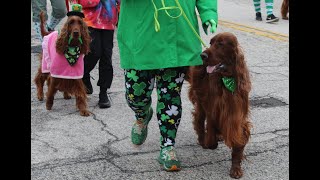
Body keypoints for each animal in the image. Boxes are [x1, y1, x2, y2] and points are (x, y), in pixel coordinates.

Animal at [188, 32, 252, 179]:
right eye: (211, 43)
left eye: (221, 44)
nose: (203, 56)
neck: (226, 80)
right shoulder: (212, 110)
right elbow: (211, 139)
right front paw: (208, 142)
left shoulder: (237, 116)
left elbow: (238, 143)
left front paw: (235, 168)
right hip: (200, 100)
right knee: (199, 121)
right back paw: (202, 139)